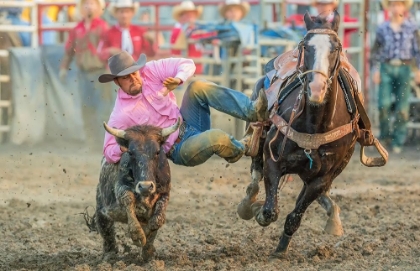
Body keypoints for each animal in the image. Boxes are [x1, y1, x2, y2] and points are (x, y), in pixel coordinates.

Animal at [240, 11, 368, 258]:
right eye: (305, 46)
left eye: (336, 47)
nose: (317, 89)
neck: (314, 123)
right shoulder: (273, 160)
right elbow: (270, 210)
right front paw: (258, 210)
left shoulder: (321, 178)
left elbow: (295, 216)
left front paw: (281, 249)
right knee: (255, 172)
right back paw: (247, 203)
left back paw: (333, 215)